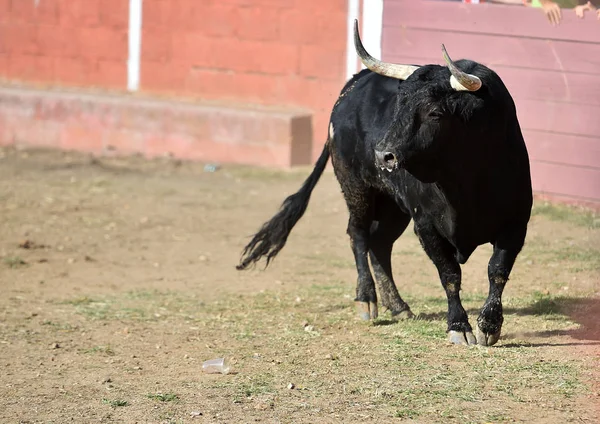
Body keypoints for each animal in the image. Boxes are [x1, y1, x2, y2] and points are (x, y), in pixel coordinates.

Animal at [237, 19, 532, 346]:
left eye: (435, 112)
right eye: (399, 106)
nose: (383, 155)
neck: (465, 183)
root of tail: (353, 85)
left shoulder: (515, 222)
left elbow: (497, 271)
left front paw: (489, 326)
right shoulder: (426, 224)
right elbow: (449, 274)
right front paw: (458, 326)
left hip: (393, 204)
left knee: (380, 242)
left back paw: (398, 305)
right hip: (357, 187)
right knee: (358, 234)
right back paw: (366, 299)